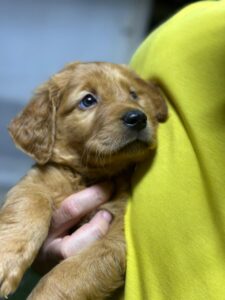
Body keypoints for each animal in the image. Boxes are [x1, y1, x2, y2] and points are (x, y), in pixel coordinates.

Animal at [0, 62, 166, 298]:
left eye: (134, 95)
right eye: (88, 100)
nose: (138, 118)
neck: (89, 175)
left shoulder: (117, 236)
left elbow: (70, 274)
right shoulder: (35, 181)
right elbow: (30, 202)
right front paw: (6, 257)